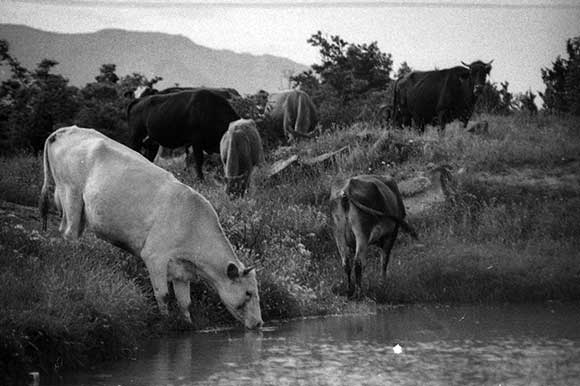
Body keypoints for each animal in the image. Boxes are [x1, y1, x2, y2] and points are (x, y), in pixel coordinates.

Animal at [41, 126, 266, 328]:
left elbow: (185, 302)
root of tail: (64, 130)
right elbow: (163, 295)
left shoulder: (181, 270)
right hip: (71, 194)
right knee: (69, 234)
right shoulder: (154, 256)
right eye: (248, 293)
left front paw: (187, 325)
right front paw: (166, 323)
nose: (259, 323)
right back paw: (74, 258)